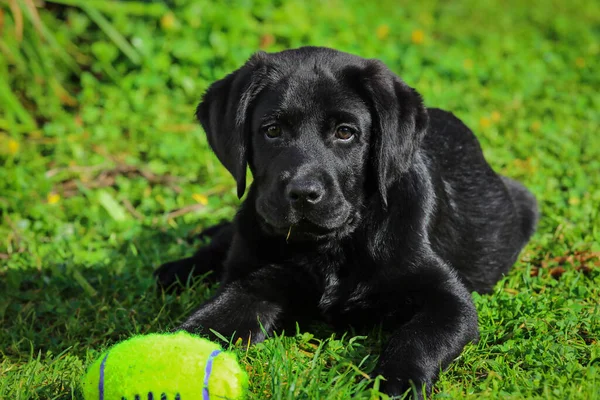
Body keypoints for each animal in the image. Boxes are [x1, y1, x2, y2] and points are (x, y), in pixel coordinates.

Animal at [155, 47, 540, 396]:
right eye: (272, 130)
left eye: (345, 132)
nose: (303, 193)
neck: (332, 245)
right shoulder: (251, 285)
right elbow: (199, 327)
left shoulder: (449, 299)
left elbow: (418, 337)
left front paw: (396, 383)